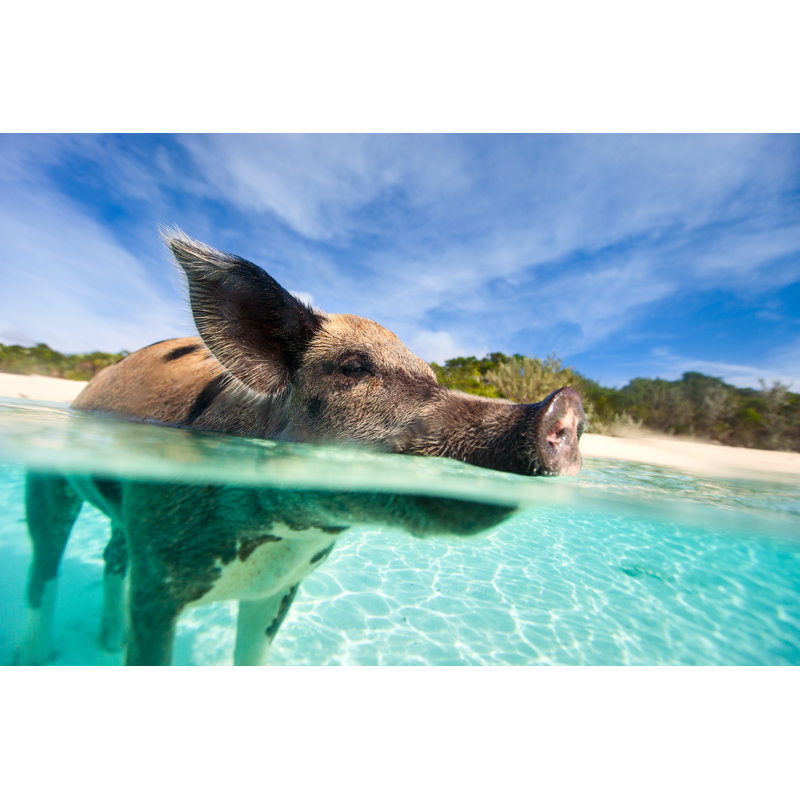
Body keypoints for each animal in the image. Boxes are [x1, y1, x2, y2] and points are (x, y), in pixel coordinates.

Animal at [17, 231, 584, 666]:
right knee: (44, 565)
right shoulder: (157, 576)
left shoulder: (280, 587)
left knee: (111, 554)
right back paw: (41, 654)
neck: (284, 536)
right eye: (354, 367)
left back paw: (104, 644)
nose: (563, 405)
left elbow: (251, 657)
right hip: (48, 482)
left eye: (431, 377)